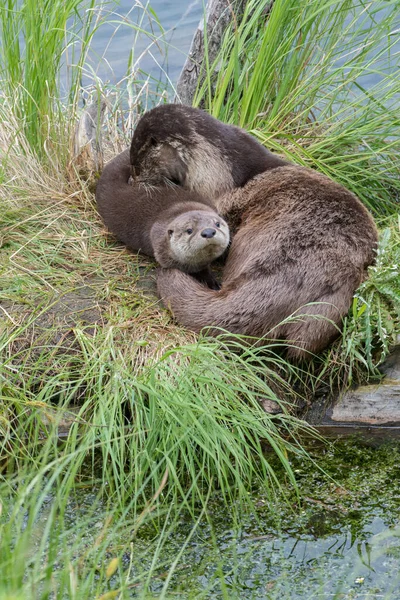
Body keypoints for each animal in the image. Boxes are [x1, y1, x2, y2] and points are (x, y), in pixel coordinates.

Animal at [95, 149, 230, 288]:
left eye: (217, 224)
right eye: (189, 230)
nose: (208, 232)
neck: (178, 208)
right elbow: (198, 271)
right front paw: (213, 283)